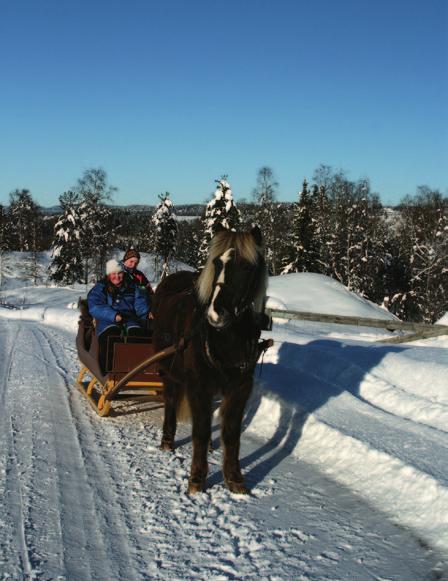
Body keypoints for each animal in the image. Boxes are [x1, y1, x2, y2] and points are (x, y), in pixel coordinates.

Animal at [152, 224, 268, 492]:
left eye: (246, 266)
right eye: (216, 262)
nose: (216, 315)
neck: (226, 338)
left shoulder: (240, 387)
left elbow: (231, 433)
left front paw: (234, 478)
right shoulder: (199, 386)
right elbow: (201, 431)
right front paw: (197, 478)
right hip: (169, 371)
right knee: (170, 400)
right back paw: (167, 440)